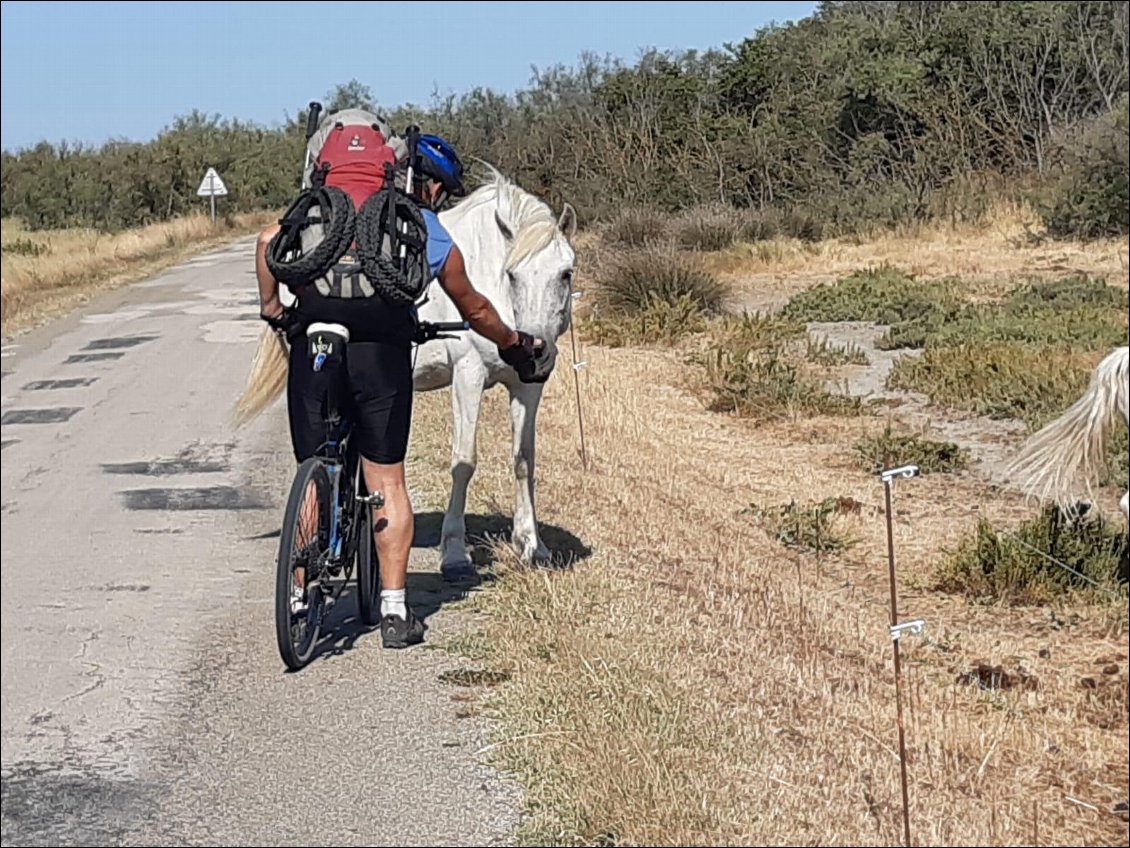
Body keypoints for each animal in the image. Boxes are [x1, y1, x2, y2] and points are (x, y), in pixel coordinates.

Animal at [235, 169, 578, 572]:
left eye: (565, 274)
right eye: (512, 275)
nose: (538, 350)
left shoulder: (527, 388)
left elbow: (524, 460)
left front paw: (532, 545)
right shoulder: (469, 376)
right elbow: (464, 462)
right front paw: (454, 551)